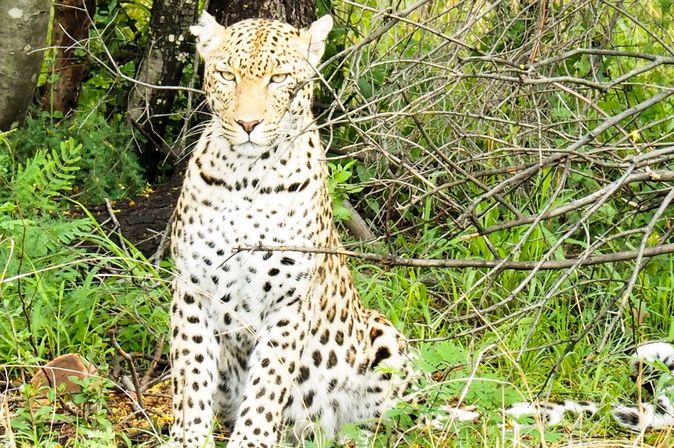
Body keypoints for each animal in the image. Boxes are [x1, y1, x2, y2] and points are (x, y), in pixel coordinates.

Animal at [167, 12, 412, 448]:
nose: (248, 123)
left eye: (278, 79)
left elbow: (268, 383)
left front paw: (251, 441)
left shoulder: (288, 303)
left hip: (384, 336)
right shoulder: (192, 290)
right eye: (227, 75)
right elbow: (191, 373)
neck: (246, 177)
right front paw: (188, 438)